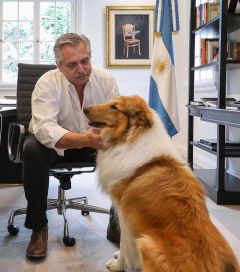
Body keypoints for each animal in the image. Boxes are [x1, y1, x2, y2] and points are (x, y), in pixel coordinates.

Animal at [83, 95, 239, 272]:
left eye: (115, 107)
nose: (85, 109)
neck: (131, 137)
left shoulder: (125, 215)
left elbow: (124, 245)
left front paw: (117, 264)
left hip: (146, 243)